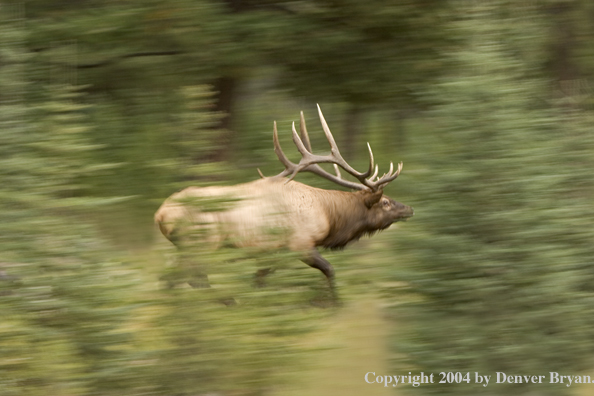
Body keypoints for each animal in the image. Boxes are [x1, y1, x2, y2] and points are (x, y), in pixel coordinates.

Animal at [153, 105, 412, 296]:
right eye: (386, 202)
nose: (409, 209)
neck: (329, 217)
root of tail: (160, 215)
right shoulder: (300, 243)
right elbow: (330, 270)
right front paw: (332, 303)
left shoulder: (273, 252)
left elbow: (258, 280)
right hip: (202, 243)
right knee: (188, 278)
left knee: (174, 277)